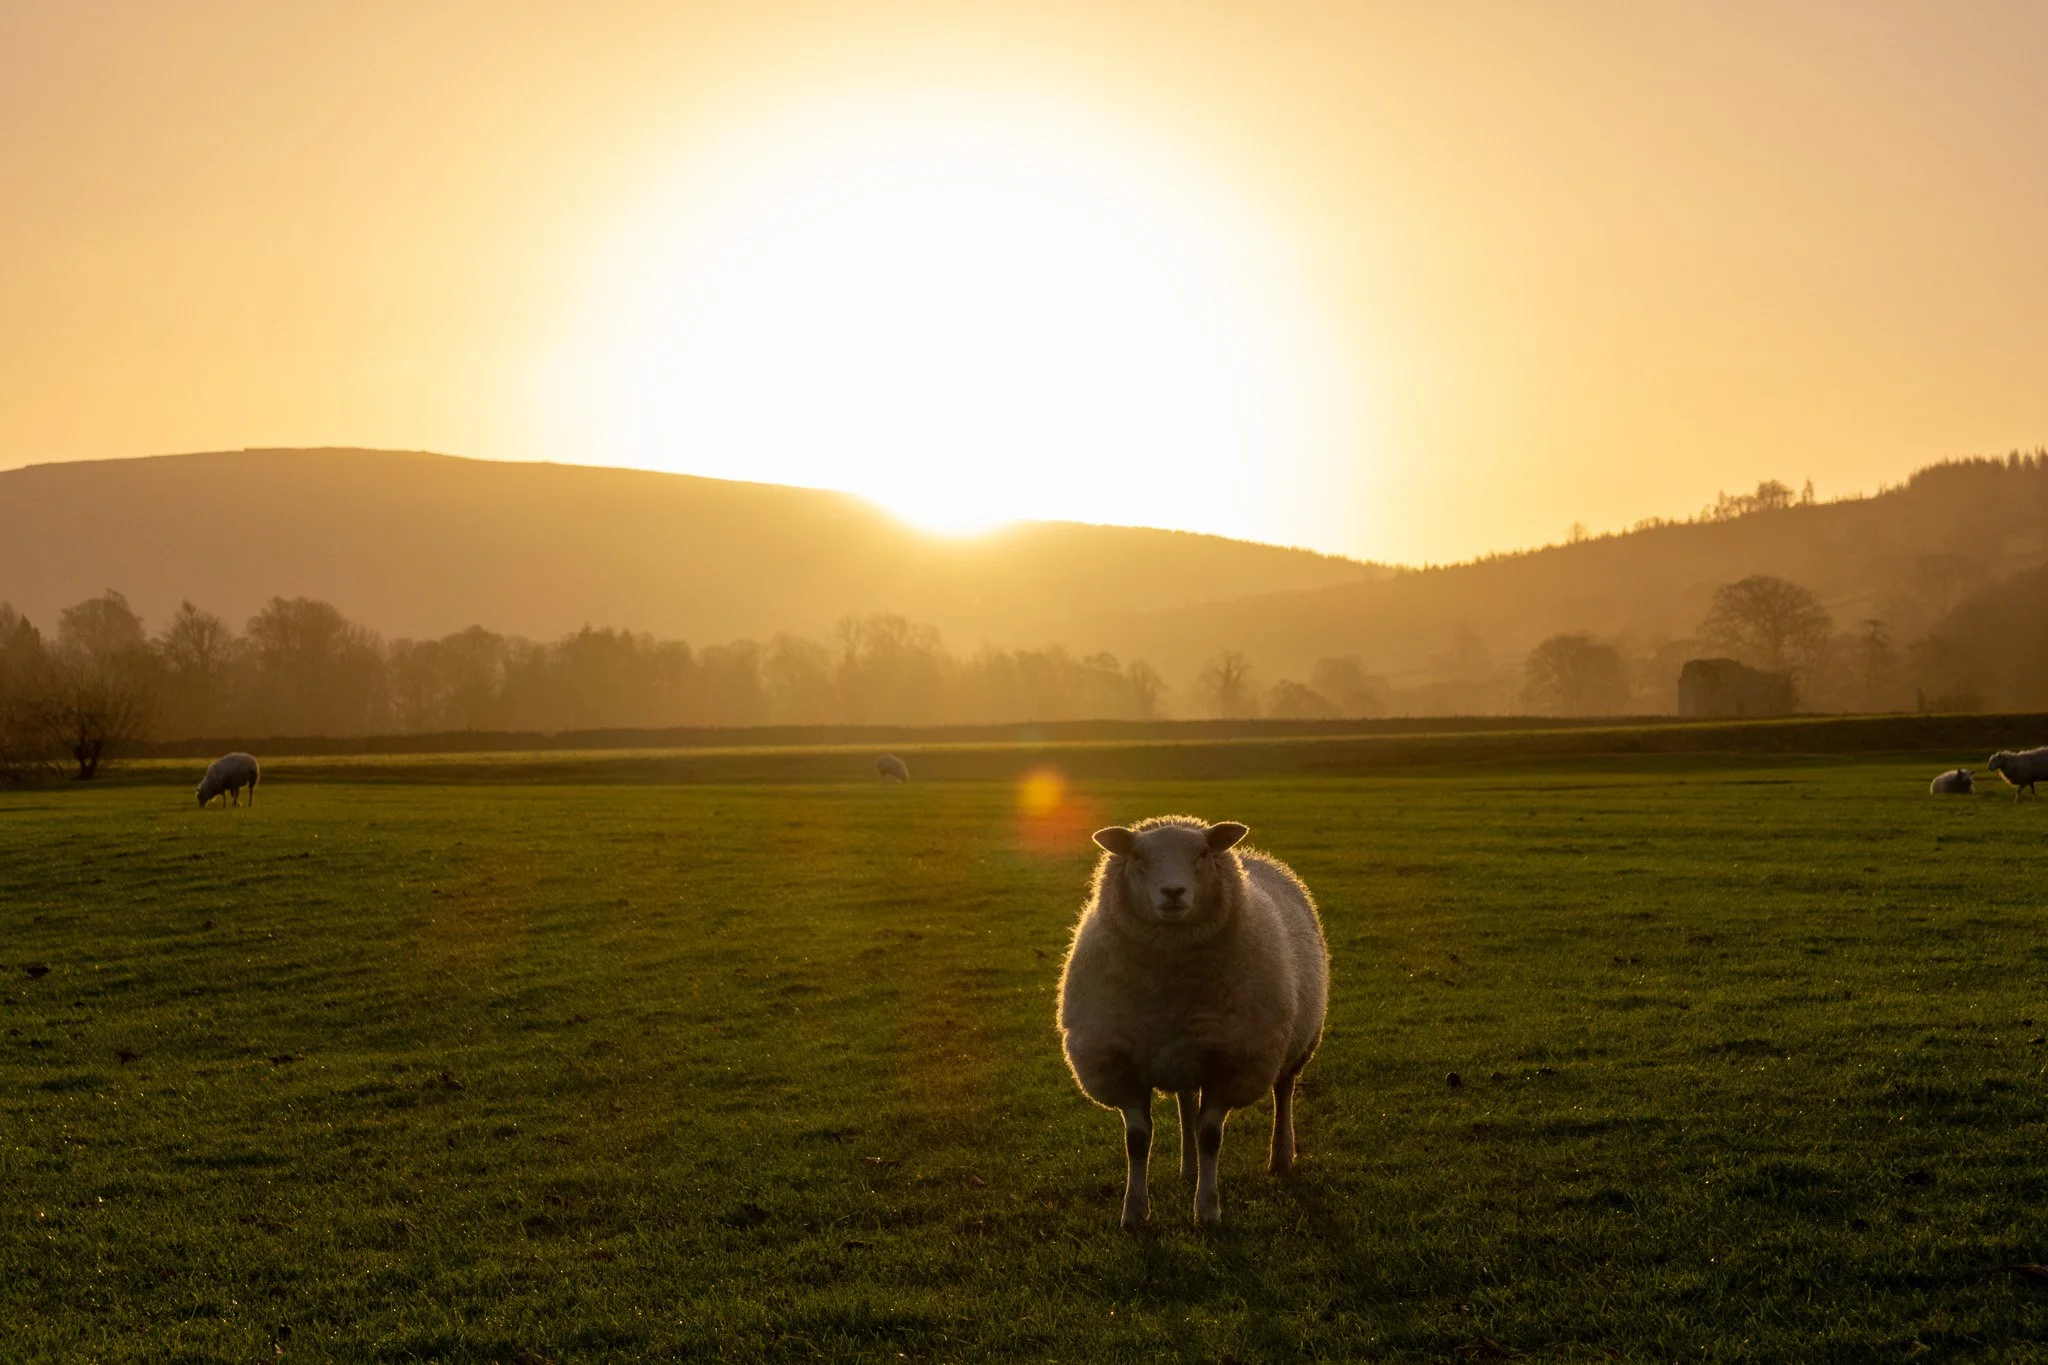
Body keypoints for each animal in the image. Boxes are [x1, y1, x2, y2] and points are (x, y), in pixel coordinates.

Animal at [1057, 815, 1329, 1229]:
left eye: (1202, 853)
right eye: (1138, 856)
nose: (1173, 892)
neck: (1171, 989)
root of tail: (1258, 856)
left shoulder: (1232, 1061)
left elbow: (1211, 1135)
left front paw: (1207, 1210)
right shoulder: (1120, 1062)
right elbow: (1138, 1140)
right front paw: (1134, 1212)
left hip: (1294, 1041)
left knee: (1283, 1092)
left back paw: (1281, 1158)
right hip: (1183, 1054)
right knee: (1186, 1102)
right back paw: (1188, 1168)